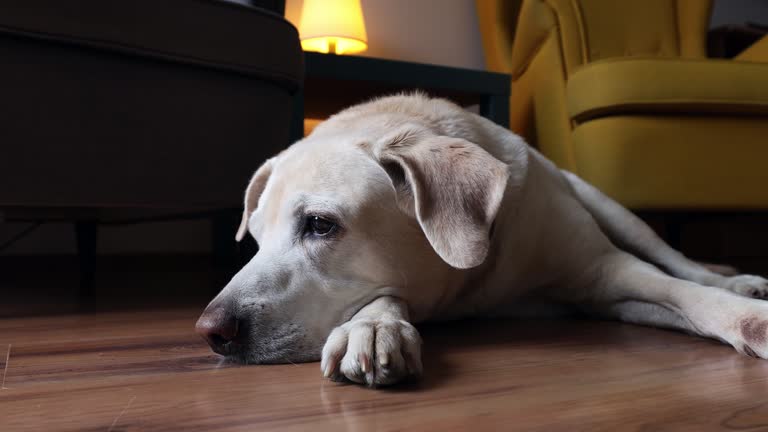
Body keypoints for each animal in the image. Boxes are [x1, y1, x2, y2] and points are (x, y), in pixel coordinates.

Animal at [195, 93, 768, 384]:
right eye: (255, 240)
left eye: (320, 224)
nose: (211, 331)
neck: (476, 274)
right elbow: (383, 300)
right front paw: (374, 327)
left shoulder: (604, 273)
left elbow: (684, 292)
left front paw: (751, 319)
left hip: (612, 209)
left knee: (677, 259)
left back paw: (741, 281)